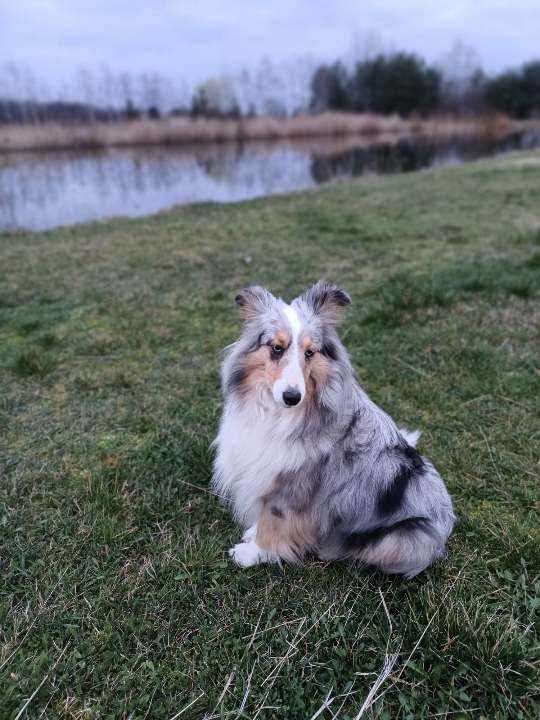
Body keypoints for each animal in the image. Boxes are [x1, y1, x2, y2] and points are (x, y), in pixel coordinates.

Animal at [212, 282, 456, 580]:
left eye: (310, 352)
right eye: (277, 348)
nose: (292, 397)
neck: (278, 413)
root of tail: (446, 526)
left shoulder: (293, 485)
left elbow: (274, 519)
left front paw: (253, 552)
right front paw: (253, 535)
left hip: (404, 538)